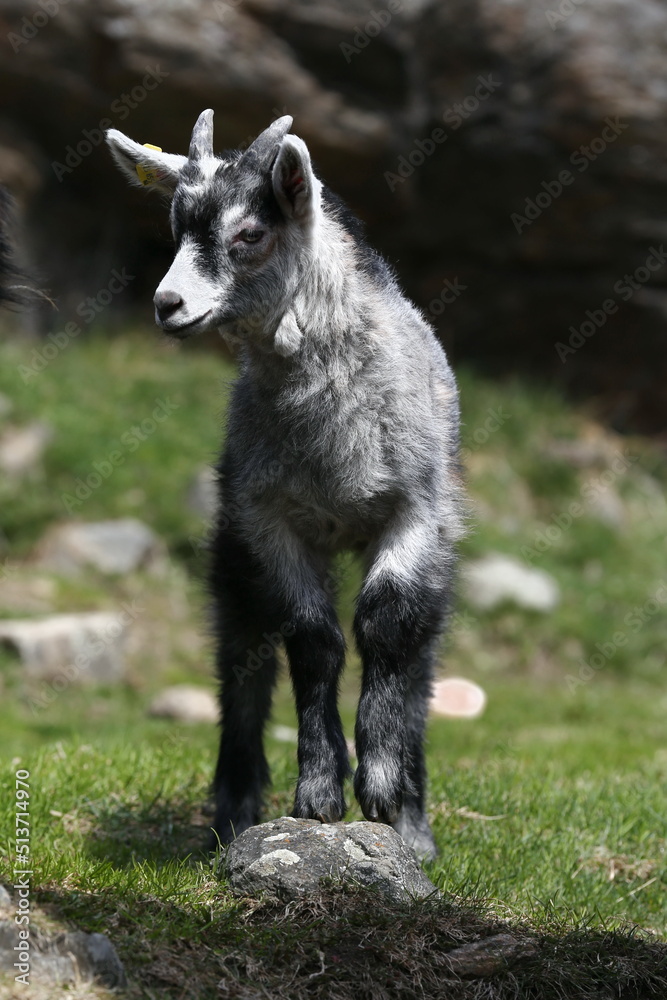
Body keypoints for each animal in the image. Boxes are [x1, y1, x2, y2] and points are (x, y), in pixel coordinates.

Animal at [106, 111, 465, 859]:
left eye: (248, 235)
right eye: (176, 229)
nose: (167, 305)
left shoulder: (414, 511)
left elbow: (387, 624)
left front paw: (382, 788)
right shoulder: (268, 520)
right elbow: (311, 637)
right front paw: (320, 793)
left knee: (419, 652)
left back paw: (413, 819)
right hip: (233, 542)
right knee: (242, 659)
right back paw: (235, 811)